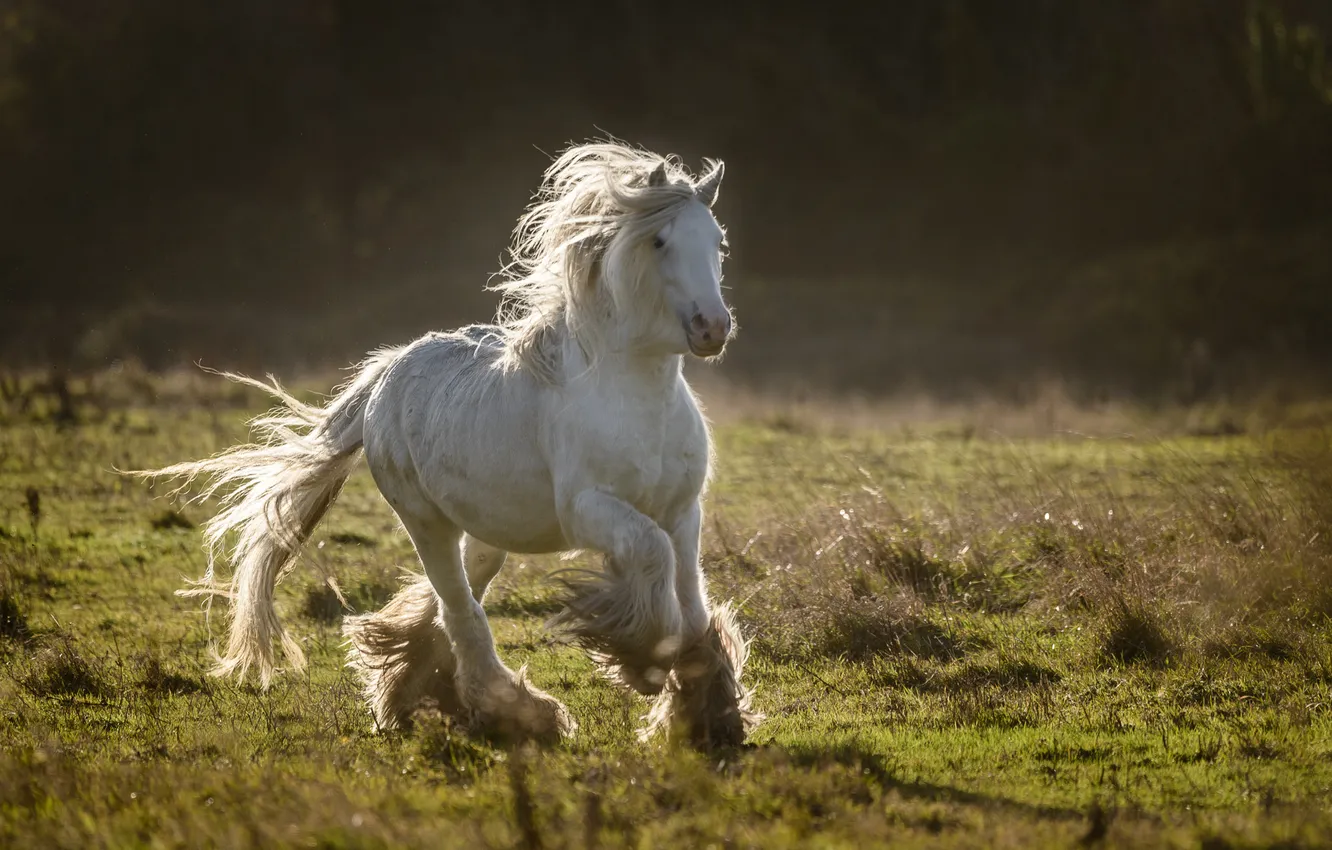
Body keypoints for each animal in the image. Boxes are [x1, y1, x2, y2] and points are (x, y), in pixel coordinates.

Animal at [137, 140, 759, 749]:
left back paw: (416, 693)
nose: (712, 327)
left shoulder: (682, 511)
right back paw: (516, 714)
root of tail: (387, 373)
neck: (635, 395)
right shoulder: (591, 510)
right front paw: (644, 663)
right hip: (425, 522)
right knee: (461, 611)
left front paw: (708, 714)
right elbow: (654, 563)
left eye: (718, 241)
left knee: (449, 604)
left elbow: (692, 603)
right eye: (659, 241)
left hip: (487, 532)